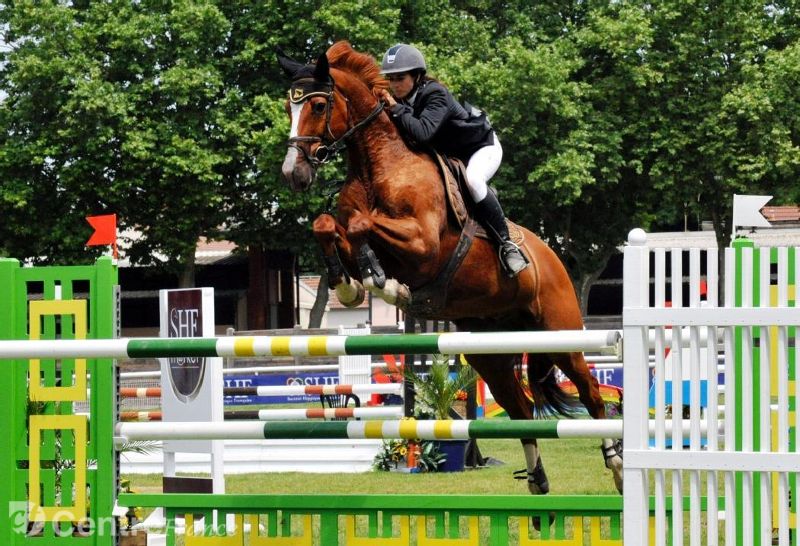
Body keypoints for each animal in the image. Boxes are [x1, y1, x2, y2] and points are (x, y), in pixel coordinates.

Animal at [278, 41, 620, 492]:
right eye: (289, 106)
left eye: (318, 105)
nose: (293, 174)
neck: (379, 163)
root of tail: (552, 258)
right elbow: (328, 225)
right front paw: (351, 282)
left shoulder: (422, 244)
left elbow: (360, 225)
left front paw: (385, 283)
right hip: (489, 351)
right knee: (521, 407)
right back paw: (537, 480)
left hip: (559, 333)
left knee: (590, 392)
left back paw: (617, 467)